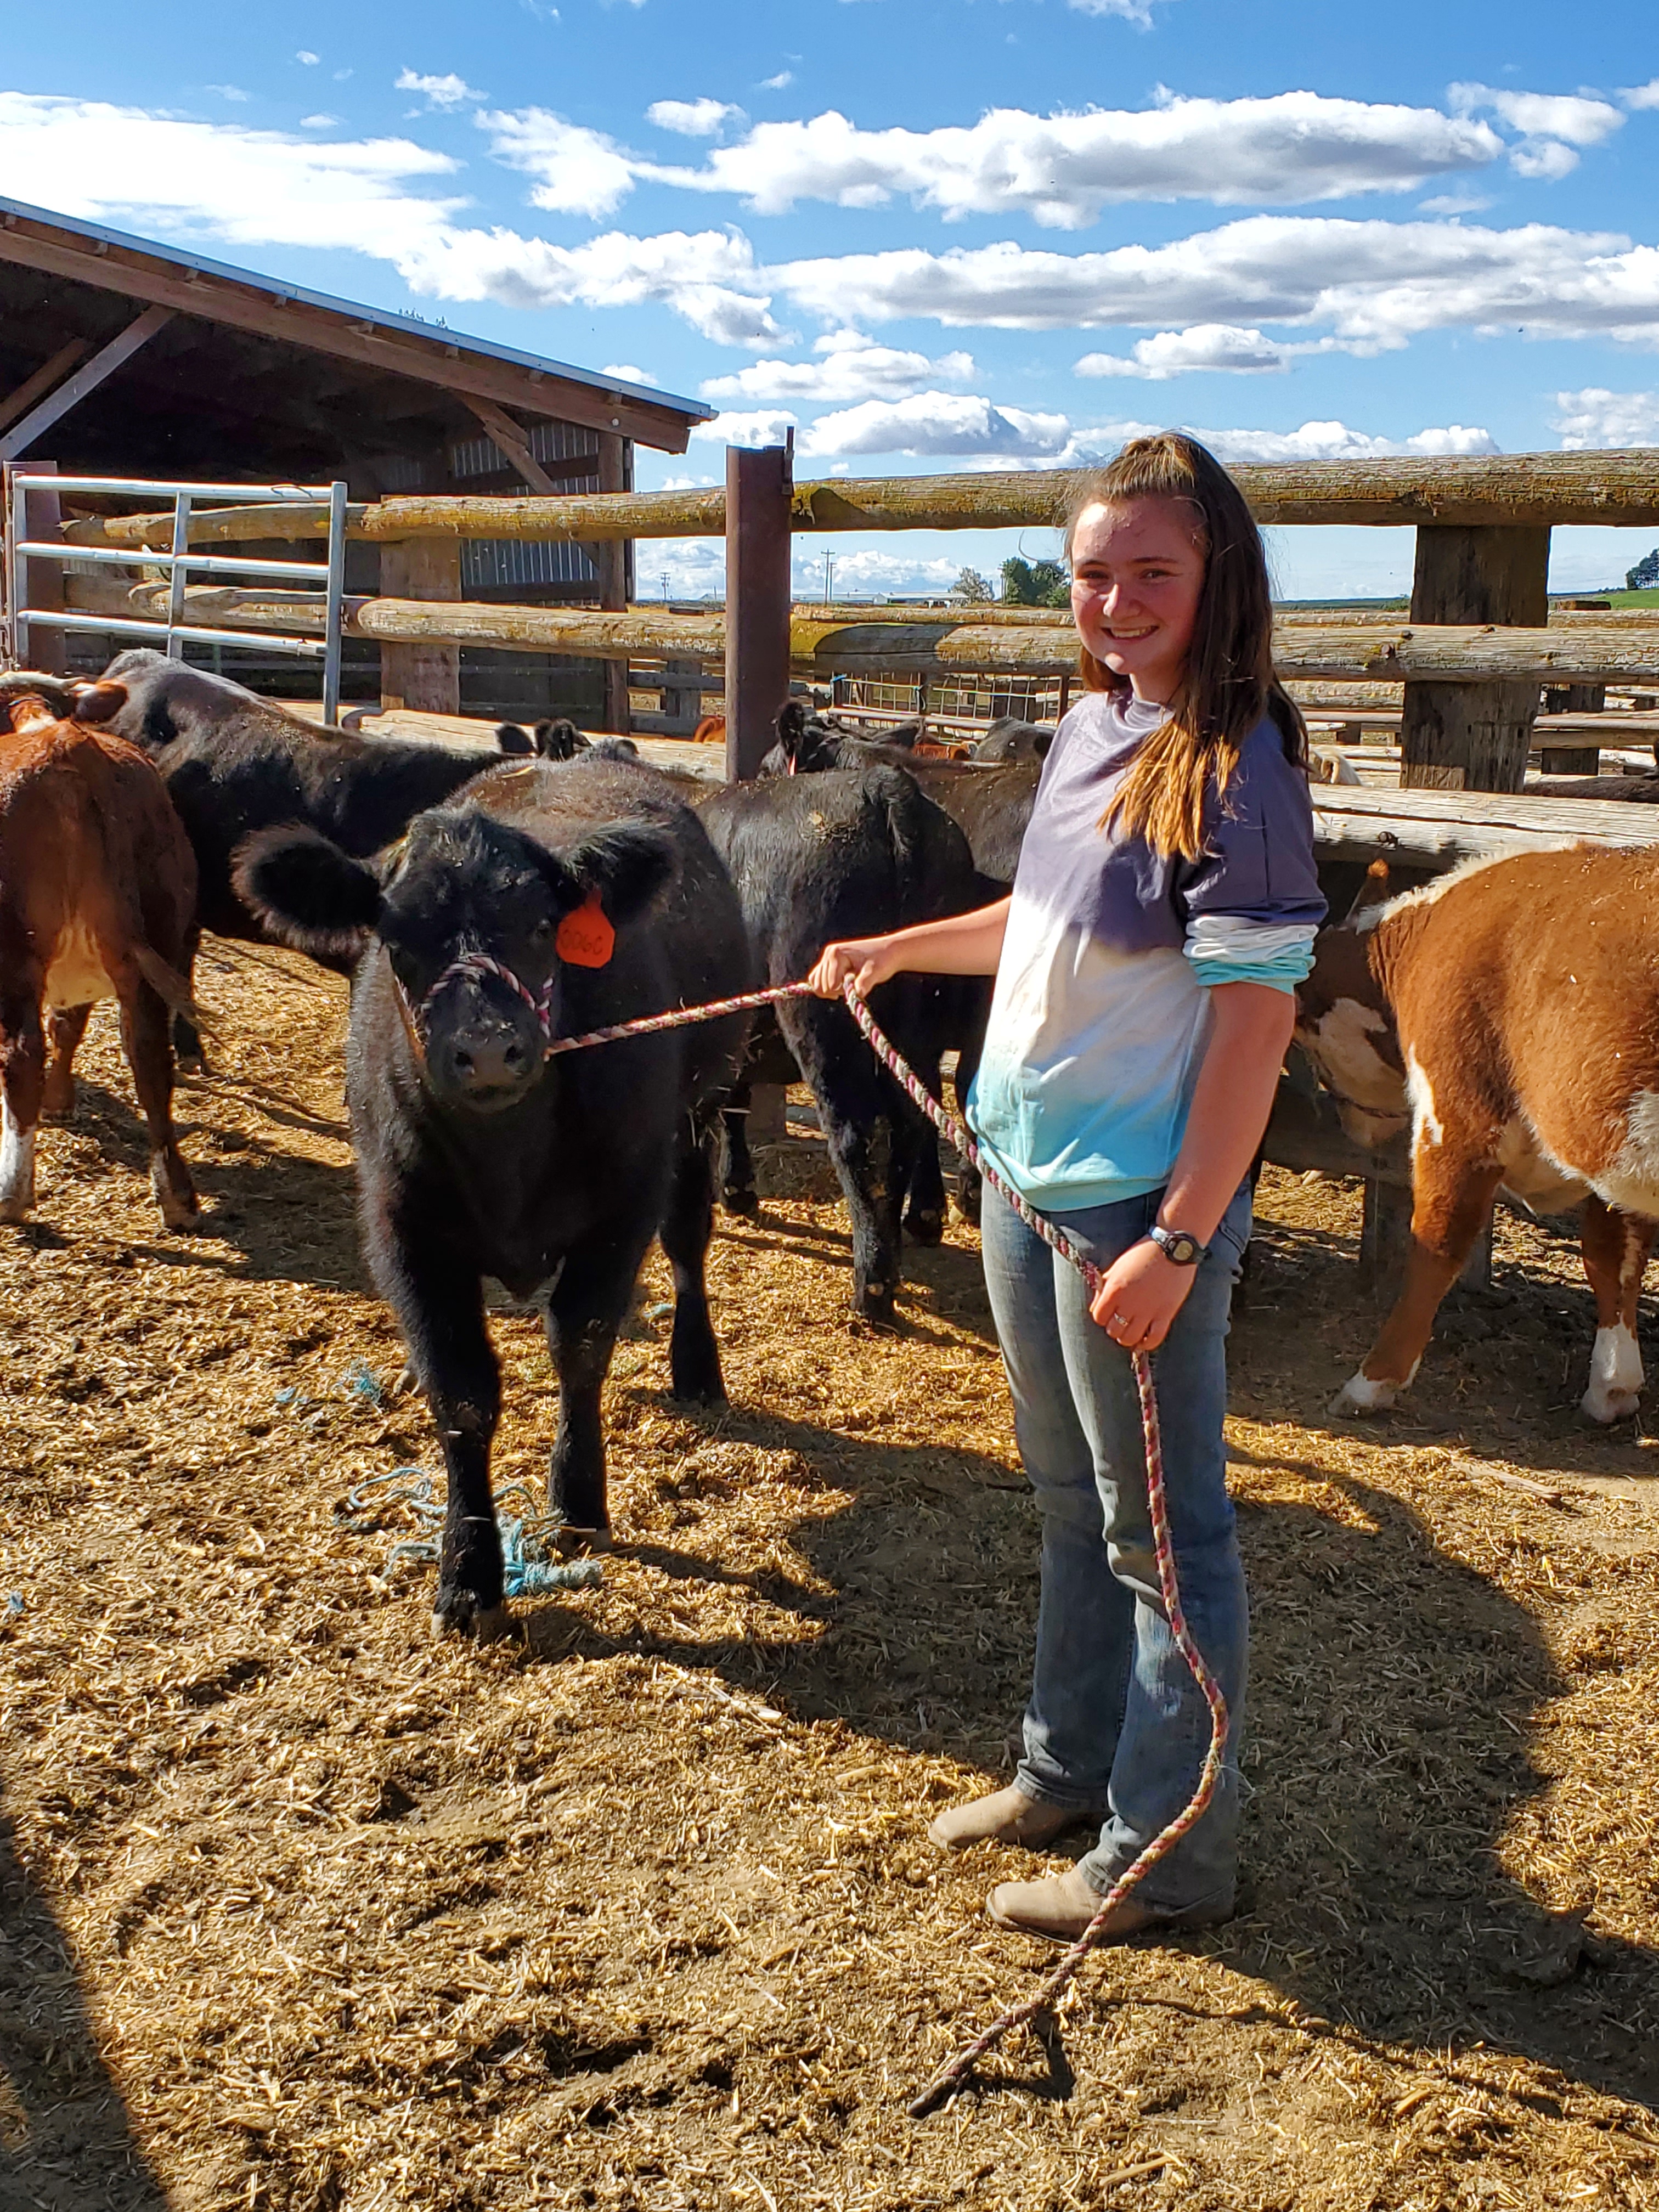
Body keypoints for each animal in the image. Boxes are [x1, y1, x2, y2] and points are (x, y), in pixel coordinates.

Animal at [0, 675, 200, 1230]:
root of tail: (69, 746)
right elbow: (68, 1027)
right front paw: (60, 1101)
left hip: (14, 955)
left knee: (21, 1054)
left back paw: (12, 1193)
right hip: (154, 945)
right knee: (149, 1056)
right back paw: (177, 1195)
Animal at [234, 754, 752, 1634]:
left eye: (542, 926)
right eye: (396, 937)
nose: (486, 1049)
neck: (509, 1159)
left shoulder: (623, 1207)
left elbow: (580, 1345)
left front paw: (578, 1497)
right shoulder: (405, 1233)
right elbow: (462, 1394)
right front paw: (470, 1571)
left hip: (702, 1110)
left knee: (689, 1241)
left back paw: (697, 1367)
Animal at [698, 763, 981, 1320]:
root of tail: (884, 789)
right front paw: (737, 1190)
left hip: (824, 1024)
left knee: (855, 1137)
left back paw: (871, 1287)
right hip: (918, 1028)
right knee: (911, 1125)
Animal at [1294, 851, 1659, 1426]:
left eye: (1310, 1039)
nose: (1351, 1126)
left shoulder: (1459, 1116)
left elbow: (1439, 1239)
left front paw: (1373, 1382)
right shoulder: (1610, 1144)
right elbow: (1612, 1255)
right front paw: (1613, 1386)